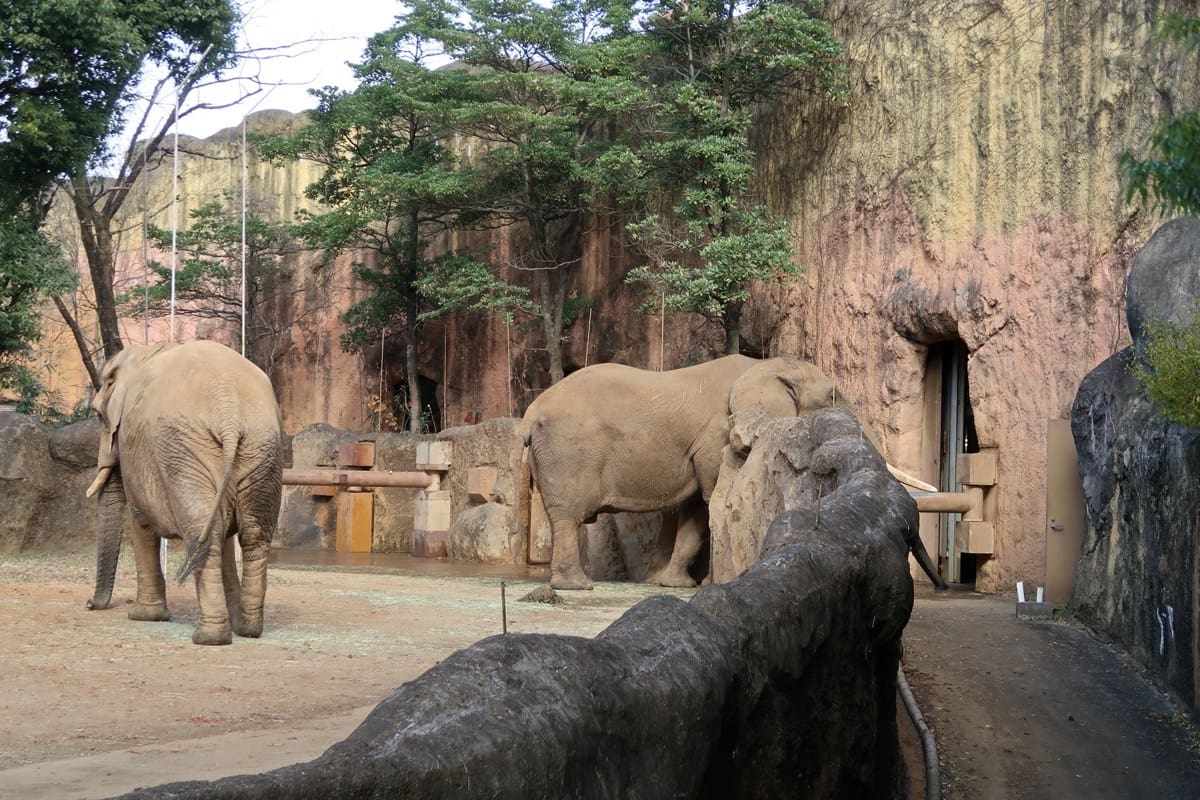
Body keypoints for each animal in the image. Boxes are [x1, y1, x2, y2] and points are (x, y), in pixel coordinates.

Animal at [84, 340, 284, 645]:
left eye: (97, 414)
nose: (90, 604)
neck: (141, 354)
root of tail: (230, 411)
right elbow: (224, 531)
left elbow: (140, 521)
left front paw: (143, 616)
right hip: (260, 447)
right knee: (252, 535)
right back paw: (247, 629)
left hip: (183, 451)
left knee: (202, 532)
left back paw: (208, 637)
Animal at [522, 354, 944, 591]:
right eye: (834, 397)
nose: (941, 586)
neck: (764, 366)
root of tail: (530, 412)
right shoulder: (717, 434)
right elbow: (711, 499)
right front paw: (708, 584)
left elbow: (696, 510)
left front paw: (677, 585)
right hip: (568, 451)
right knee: (569, 516)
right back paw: (578, 587)